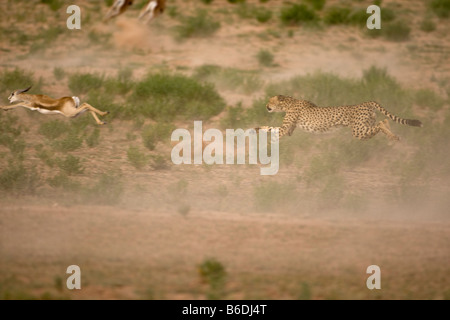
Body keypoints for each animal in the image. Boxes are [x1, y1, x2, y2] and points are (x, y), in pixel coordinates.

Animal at [255, 94, 424, 141]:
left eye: (270, 100)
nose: (266, 106)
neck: (289, 103)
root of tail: (366, 102)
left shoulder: (285, 129)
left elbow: (276, 131)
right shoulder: (289, 130)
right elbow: (270, 128)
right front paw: (257, 128)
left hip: (358, 130)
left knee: (382, 123)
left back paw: (392, 136)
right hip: (365, 126)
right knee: (384, 121)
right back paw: (393, 136)